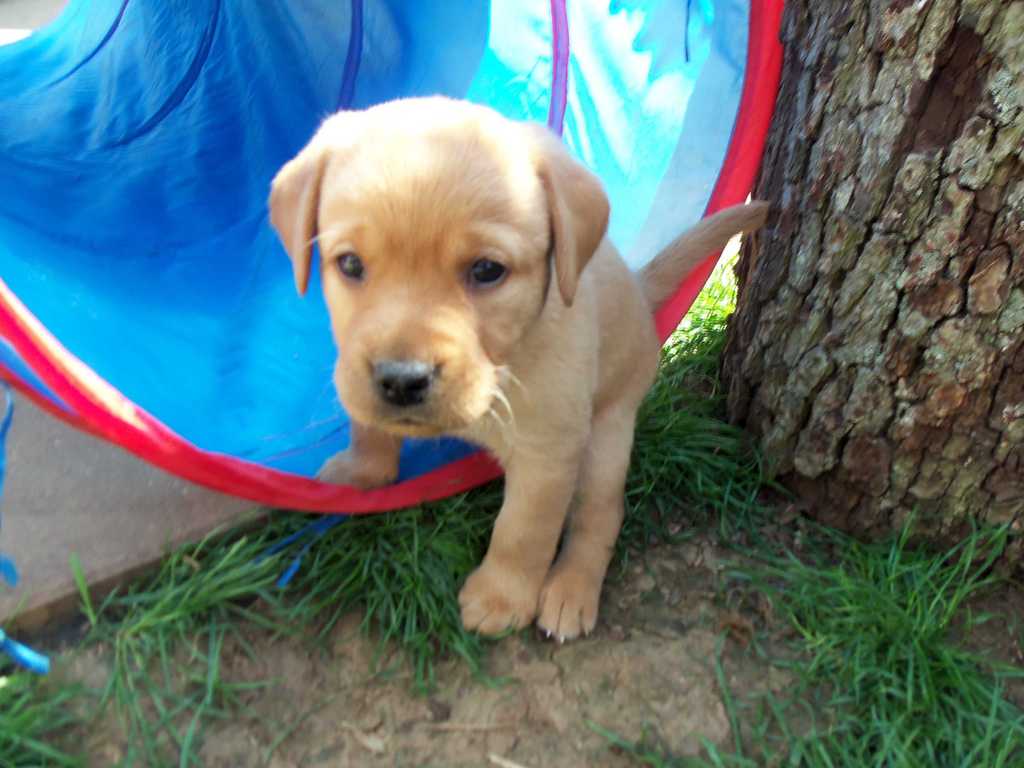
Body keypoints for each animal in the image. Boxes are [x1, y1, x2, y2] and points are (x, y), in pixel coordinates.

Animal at [268, 96, 765, 643]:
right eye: (350, 264)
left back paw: (571, 589)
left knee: (600, 515)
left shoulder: (548, 452)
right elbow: (369, 427)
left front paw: (500, 598)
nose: (401, 379)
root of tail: (639, 285)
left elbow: (522, 531)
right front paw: (360, 471)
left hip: (608, 434)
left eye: (487, 270)